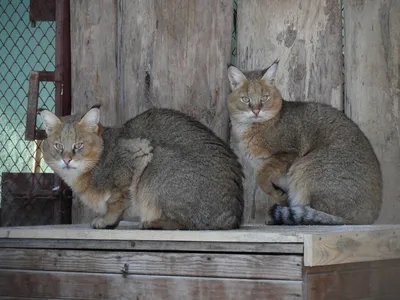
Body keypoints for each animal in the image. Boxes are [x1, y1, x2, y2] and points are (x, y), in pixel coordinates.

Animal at [39, 105, 244, 230]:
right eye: (58, 146)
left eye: (78, 145)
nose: (67, 159)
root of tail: (232, 216)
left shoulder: (139, 154)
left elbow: (115, 203)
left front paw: (106, 220)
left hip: (160, 165)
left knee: (186, 222)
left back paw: (153, 222)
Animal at [228, 60, 382, 225]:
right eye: (246, 99)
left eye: (264, 98)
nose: (256, 111)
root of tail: (366, 217)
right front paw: (281, 199)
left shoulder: (288, 153)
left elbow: (261, 176)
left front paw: (277, 196)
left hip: (306, 167)